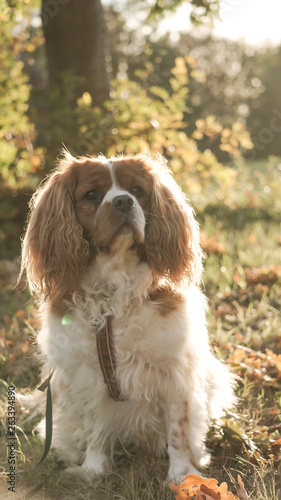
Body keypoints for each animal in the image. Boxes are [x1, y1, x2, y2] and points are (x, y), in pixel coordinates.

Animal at [19, 150, 234, 482]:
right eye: (91, 195)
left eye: (137, 191)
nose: (123, 201)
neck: (113, 287)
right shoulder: (88, 375)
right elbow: (97, 427)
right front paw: (92, 470)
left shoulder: (175, 372)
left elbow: (178, 431)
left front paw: (182, 477)